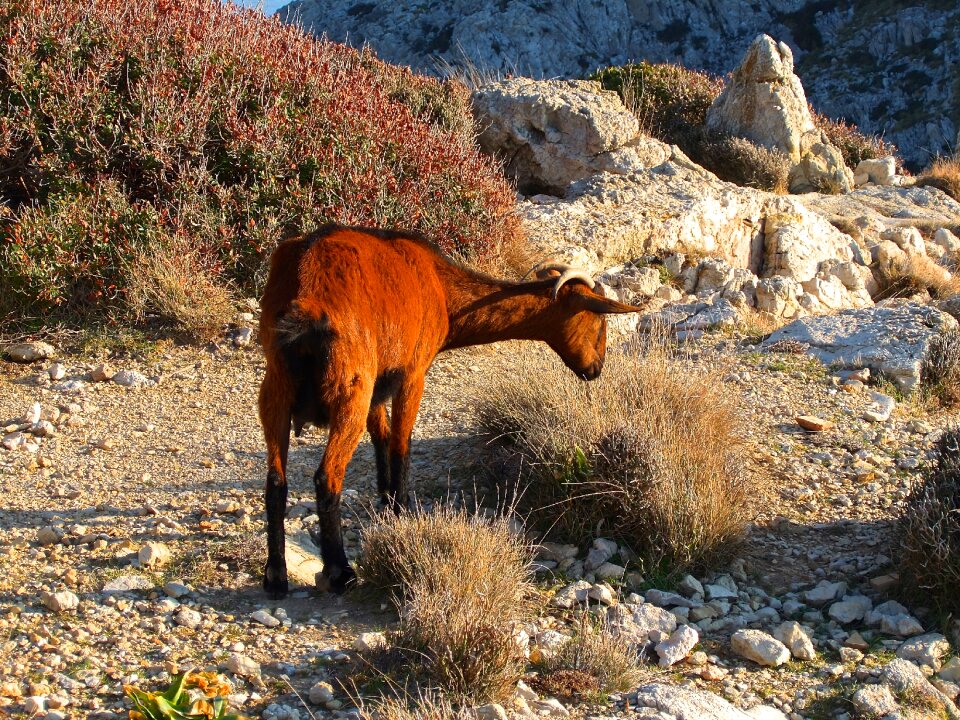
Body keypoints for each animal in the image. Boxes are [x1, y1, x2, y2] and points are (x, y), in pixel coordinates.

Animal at [258, 225, 640, 596]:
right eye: (598, 322)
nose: (595, 369)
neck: (440, 286)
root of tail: (306, 299)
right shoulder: (411, 374)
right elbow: (400, 446)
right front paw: (400, 516)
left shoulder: (378, 385)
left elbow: (381, 438)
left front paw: (386, 508)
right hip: (350, 390)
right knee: (328, 476)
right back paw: (340, 572)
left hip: (277, 388)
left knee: (276, 480)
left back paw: (276, 576)